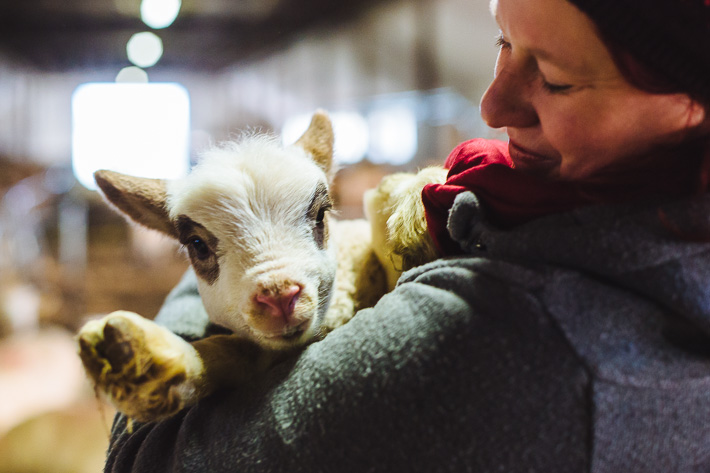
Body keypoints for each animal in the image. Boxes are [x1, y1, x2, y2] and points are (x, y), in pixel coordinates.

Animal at [78, 110, 444, 420]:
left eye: (321, 215)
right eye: (197, 245)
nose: (279, 296)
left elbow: (384, 196)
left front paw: (416, 208)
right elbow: (232, 352)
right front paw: (138, 362)